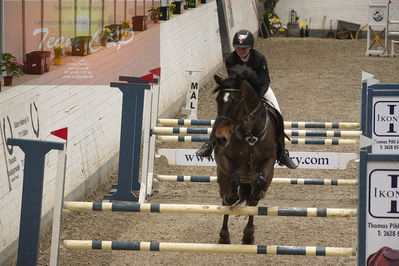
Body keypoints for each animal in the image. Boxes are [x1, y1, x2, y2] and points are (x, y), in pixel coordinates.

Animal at [214, 65, 280, 244]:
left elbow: (258, 187)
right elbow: (233, 179)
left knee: (252, 200)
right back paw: (224, 235)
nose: (220, 138)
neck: (249, 133)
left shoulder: (269, 161)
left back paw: (248, 235)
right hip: (222, 177)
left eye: (236, 101)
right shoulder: (224, 160)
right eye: (218, 100)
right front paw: (233, 196)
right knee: (225, 199)